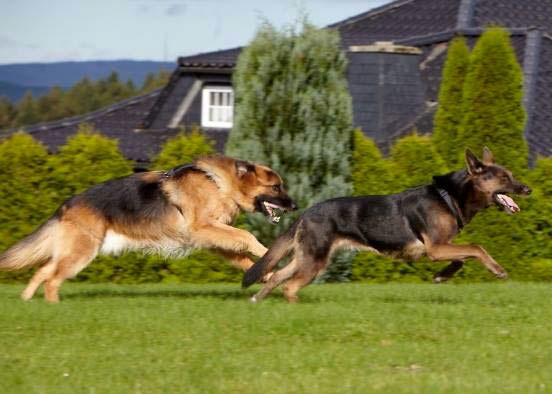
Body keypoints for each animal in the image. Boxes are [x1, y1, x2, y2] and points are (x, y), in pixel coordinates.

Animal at [0, 154, 298, 302]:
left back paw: (27, 300)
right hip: (81, 253)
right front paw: (267, 253)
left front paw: (265, 272)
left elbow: (244, 257)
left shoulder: (214, 239)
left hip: (73, 251)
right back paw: (55, 306)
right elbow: (247, 236)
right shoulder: (203, 228)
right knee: (52, 279)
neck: (218, 184)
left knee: (43, 271)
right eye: (276, 187)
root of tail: (66, 204)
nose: (295, 206)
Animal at [244, 148, 532, 302]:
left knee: (277, 276)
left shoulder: (443, 247)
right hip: (315, 261)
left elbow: (462, 259)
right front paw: (497, 269)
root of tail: (306, 213)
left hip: (307, 257)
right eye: (504, 178)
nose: (528, 189)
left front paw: (442, 276)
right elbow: (476, 248)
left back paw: (258, 299)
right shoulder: (437, 248)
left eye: (512, 176)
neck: (449, 196)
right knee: (289, 286)